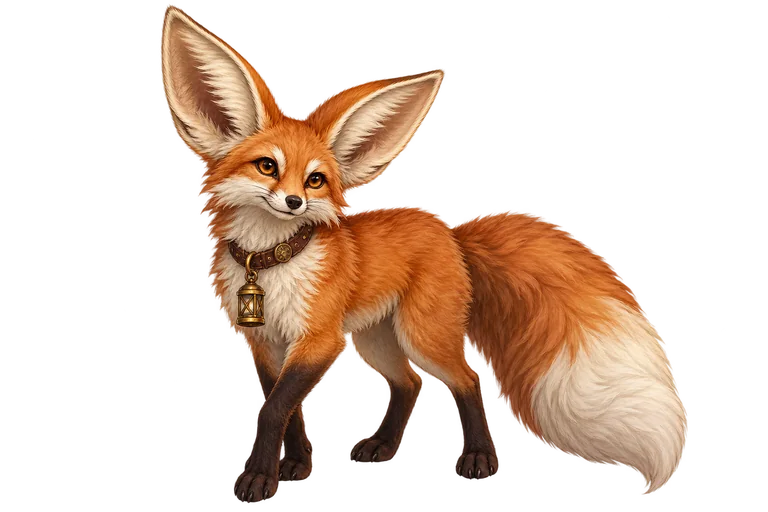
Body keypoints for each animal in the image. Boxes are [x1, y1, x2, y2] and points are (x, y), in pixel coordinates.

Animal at [159, 4, 689, 505]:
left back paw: (479, 458)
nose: (293, 202)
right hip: (376, 339)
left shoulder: (318, 341)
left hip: (420, 335)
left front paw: (258, 480)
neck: (270, 264)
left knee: (467, 379)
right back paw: (383, 446)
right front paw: (293, 467)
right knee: (410, 384)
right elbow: (283, 410)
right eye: (267, 167)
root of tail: (450, 230)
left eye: (315, 180)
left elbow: (273, 411)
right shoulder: (264, 346)